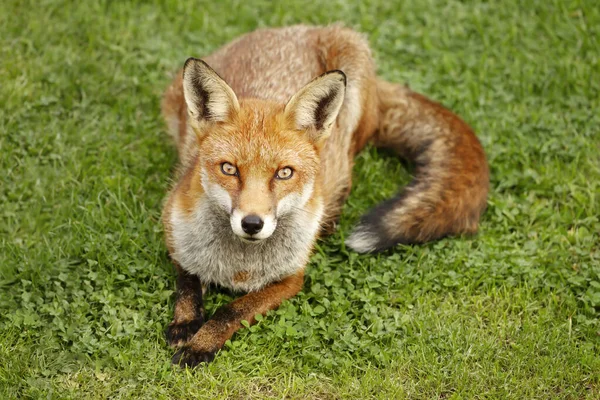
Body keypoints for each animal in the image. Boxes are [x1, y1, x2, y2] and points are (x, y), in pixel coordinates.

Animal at [162, 25, 490, 368]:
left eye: (284, 173)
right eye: (229, 169)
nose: (252, 224)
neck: (240, 266)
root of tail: (302, 27)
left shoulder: (291, 279)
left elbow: (232, 310)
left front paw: (202, 343)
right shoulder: (176, 234)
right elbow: (187, 283)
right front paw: (186, 323)